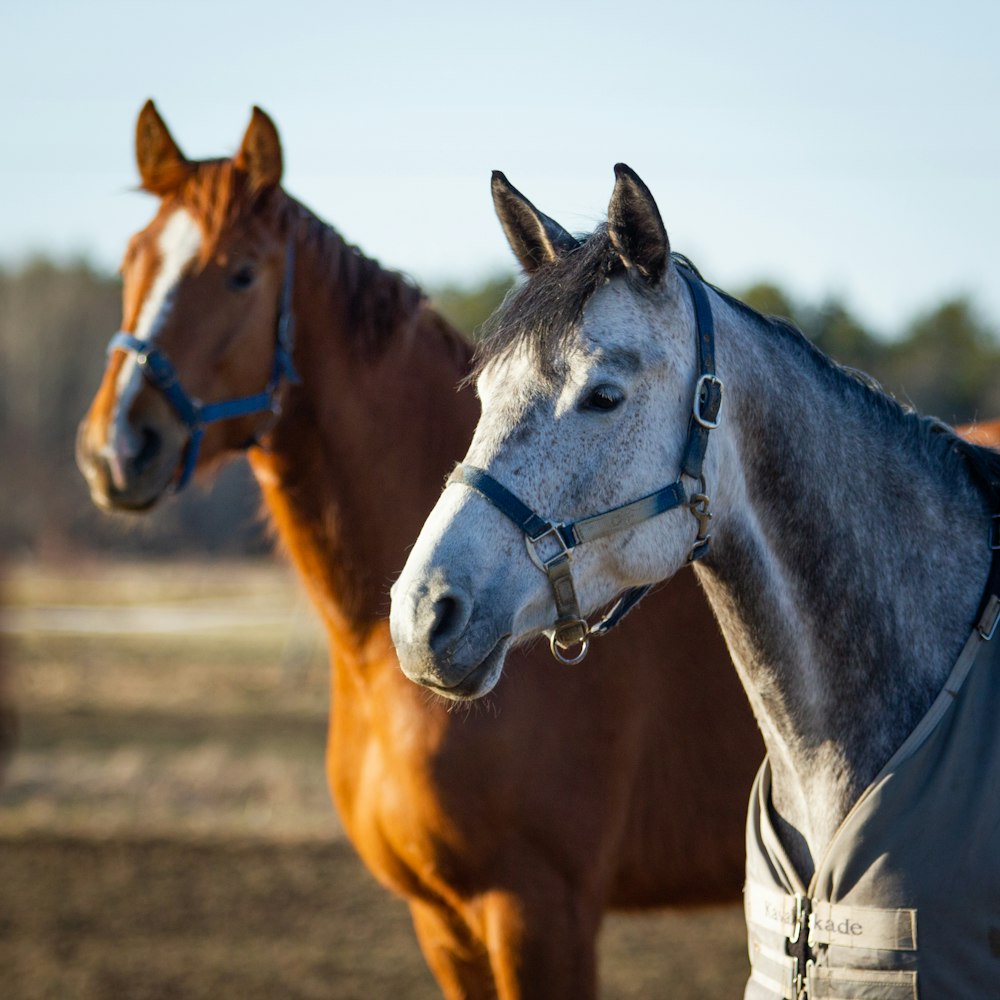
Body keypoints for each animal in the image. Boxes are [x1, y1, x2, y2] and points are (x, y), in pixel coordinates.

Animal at [78, 103, 760, 1000]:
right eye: (131, 260)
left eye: (241, 275)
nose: (114, 448)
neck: (377, 667)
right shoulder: (444, 920)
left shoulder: (539, 911)